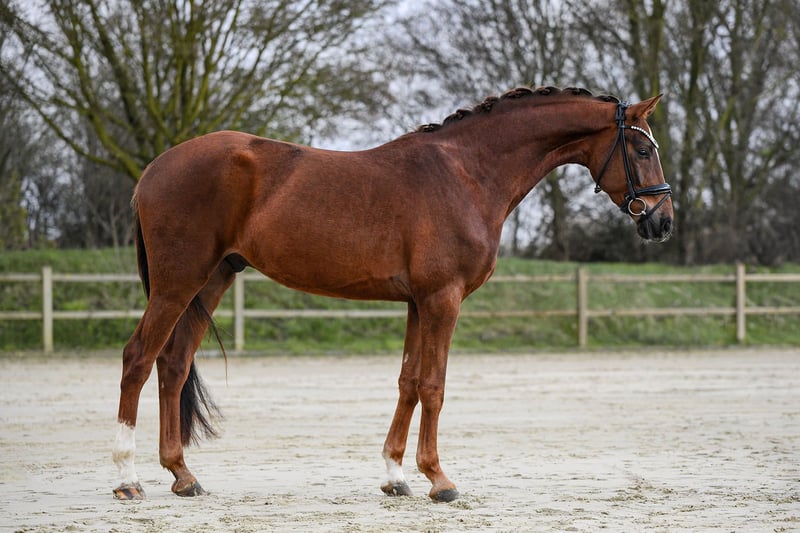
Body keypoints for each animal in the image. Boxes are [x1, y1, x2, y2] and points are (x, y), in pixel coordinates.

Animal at [112, 86, 673, 503]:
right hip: (178, 283)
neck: (466, 174)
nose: (662, 222)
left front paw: (396, 476)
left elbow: (408, 382)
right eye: (643, 149)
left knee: (173, 364)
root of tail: (154, 169)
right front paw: (439, 480)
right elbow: (434, 384)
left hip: (212, 280)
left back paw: (183, 475)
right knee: (138, 358)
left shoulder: (417, 303)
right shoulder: (443, 299)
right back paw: (127, 479)